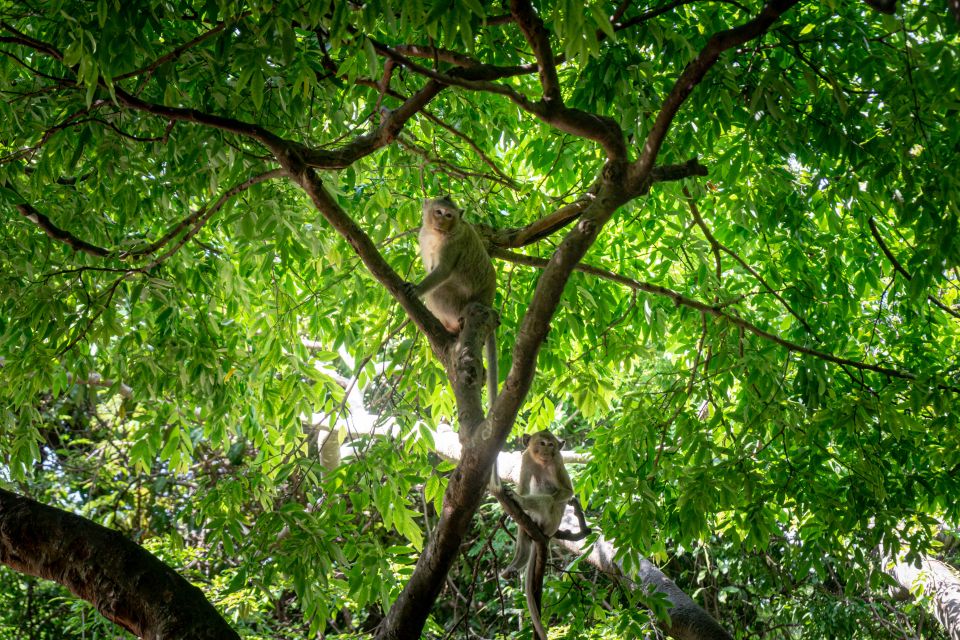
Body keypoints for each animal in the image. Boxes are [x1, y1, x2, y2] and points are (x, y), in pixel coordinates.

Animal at [498, 430, 572, 640]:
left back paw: (522, 501)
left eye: (551, 444)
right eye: (542, 443)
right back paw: (516, 563)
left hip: (550, 522)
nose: (547, 451)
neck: (541, 463)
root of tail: (547, 533)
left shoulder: (558, 461)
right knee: (523, 530)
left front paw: (520, 498)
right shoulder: (526, 459)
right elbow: (524, 486)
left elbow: (566, 492)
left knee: (547, 501)